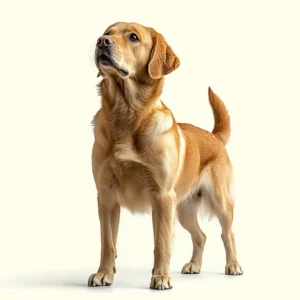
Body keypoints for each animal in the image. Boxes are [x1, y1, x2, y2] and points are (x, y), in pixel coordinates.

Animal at [88, 21, 243, 290]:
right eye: (108, 33)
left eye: (133, 37)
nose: (101, 41)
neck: (126, 115)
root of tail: (214, 136)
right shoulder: (106, 196)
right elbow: (107, 243)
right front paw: (103, 274)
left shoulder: (161, 198)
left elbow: (161, 243)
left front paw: (160, 277)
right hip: (183, 210)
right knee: (201, 235)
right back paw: (194, 265)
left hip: (219, 202)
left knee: (228, 234)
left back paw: (233, 265)